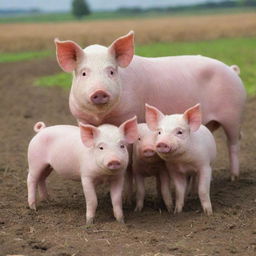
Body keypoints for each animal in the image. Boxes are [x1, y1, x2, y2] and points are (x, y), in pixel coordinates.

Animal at [55, 31, 246, 180]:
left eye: (111, 71)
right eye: (84, 73)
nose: (100, 91)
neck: (101, 115)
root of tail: (232, 70)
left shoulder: (128, 116)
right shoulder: (81, 118)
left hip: (234, 113)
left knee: (233, 144)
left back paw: (233, 177)